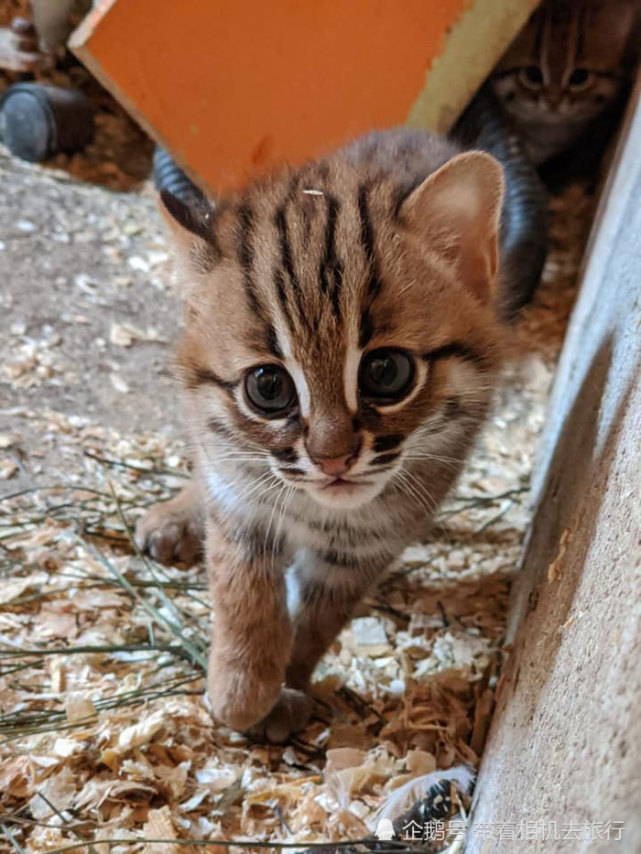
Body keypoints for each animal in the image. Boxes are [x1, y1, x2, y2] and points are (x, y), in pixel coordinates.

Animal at [136, 132, 504, 744]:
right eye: (268, 386)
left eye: (386, 372)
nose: (333, 459)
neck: (319, 511)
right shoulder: (243, 504)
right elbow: (242, 599)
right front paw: (240, 694)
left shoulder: (363, 548)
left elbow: (317, 623)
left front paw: (289, 686)